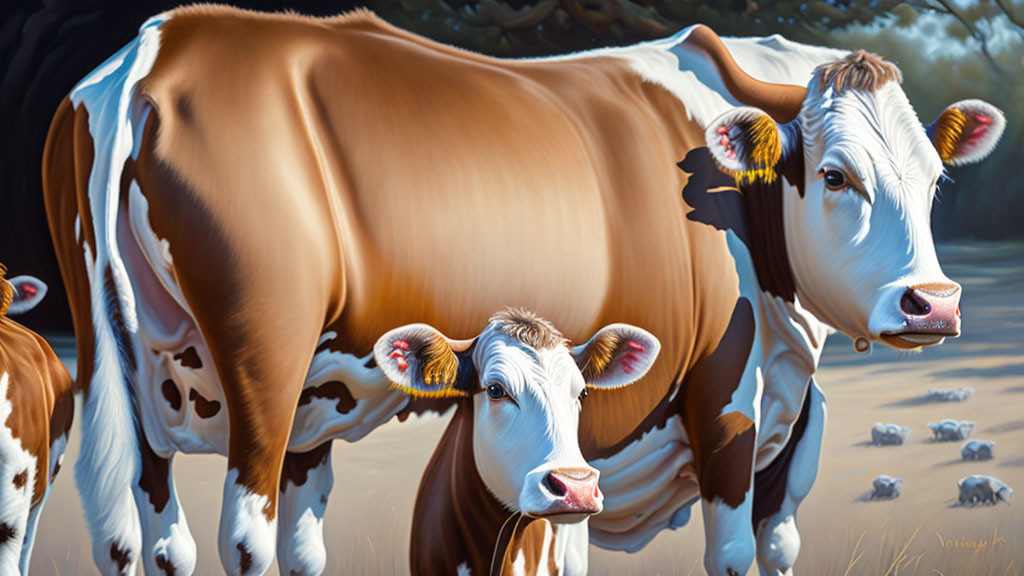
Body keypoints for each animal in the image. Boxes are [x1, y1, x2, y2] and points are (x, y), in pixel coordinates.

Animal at [44, 7, 1003, 573]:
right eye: (837, 175)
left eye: (934, 178)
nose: (933, 304)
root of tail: (160, 44)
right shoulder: (720, 402)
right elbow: (729, 553)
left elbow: (778, 545)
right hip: (264, 370)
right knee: (243, 535)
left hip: (172, 378)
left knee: (159, 540)